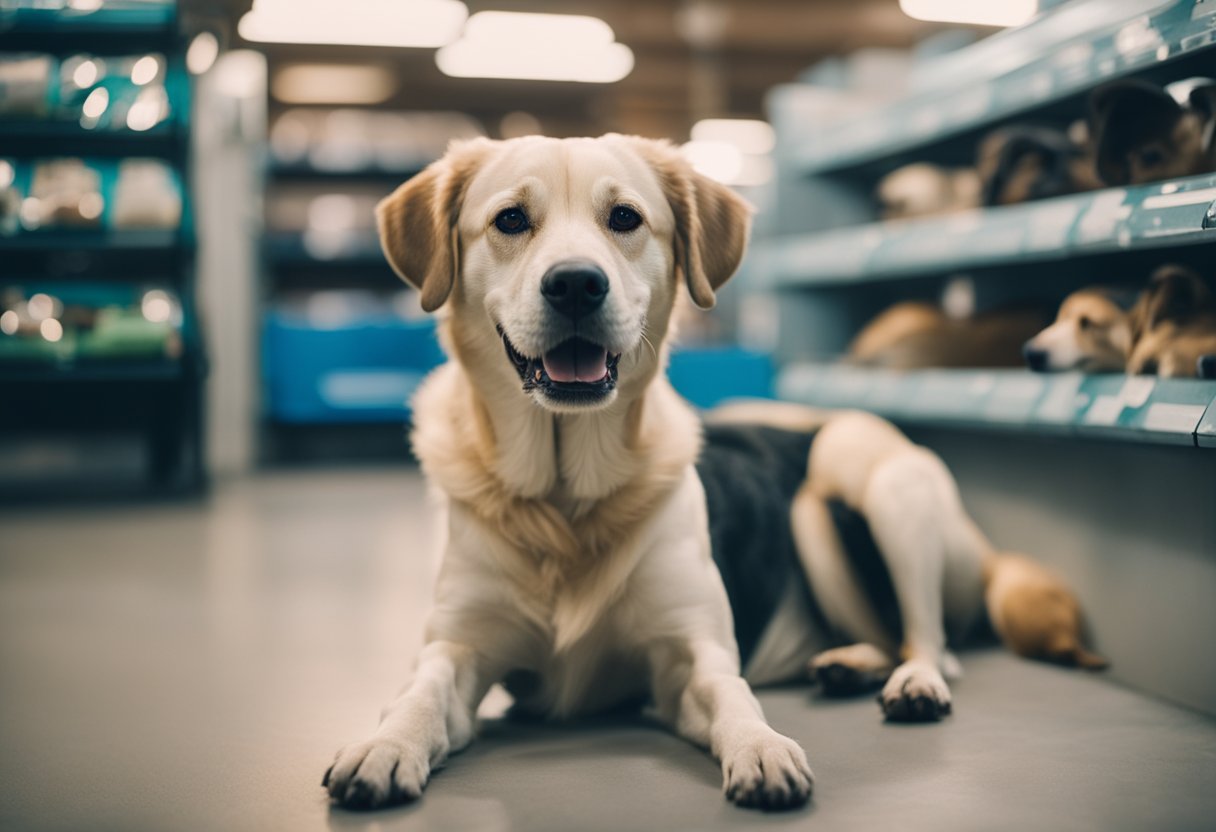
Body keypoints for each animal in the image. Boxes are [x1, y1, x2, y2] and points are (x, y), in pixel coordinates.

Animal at [325, 136, 1113, 812]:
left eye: (625, 218)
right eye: (510, 220)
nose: (576, 284)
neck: (565, 500)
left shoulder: (688, 659)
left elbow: (733, 696)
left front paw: (762, 747)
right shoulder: (457, 649)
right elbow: (420, 694)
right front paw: (385, 745)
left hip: (866, 481)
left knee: (929, 643)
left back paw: (909, 680)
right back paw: (847, 662)